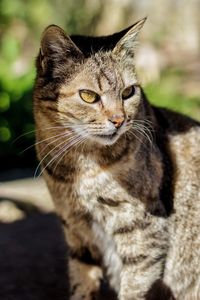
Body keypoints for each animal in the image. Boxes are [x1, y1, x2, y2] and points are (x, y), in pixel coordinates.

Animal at [33, 18, 200, 300]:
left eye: (128, 92)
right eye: (89, 96)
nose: (119, 120)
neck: (81, 164)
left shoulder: (143, 232)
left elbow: (134, 285)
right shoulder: (76, 226)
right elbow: (82, 279)